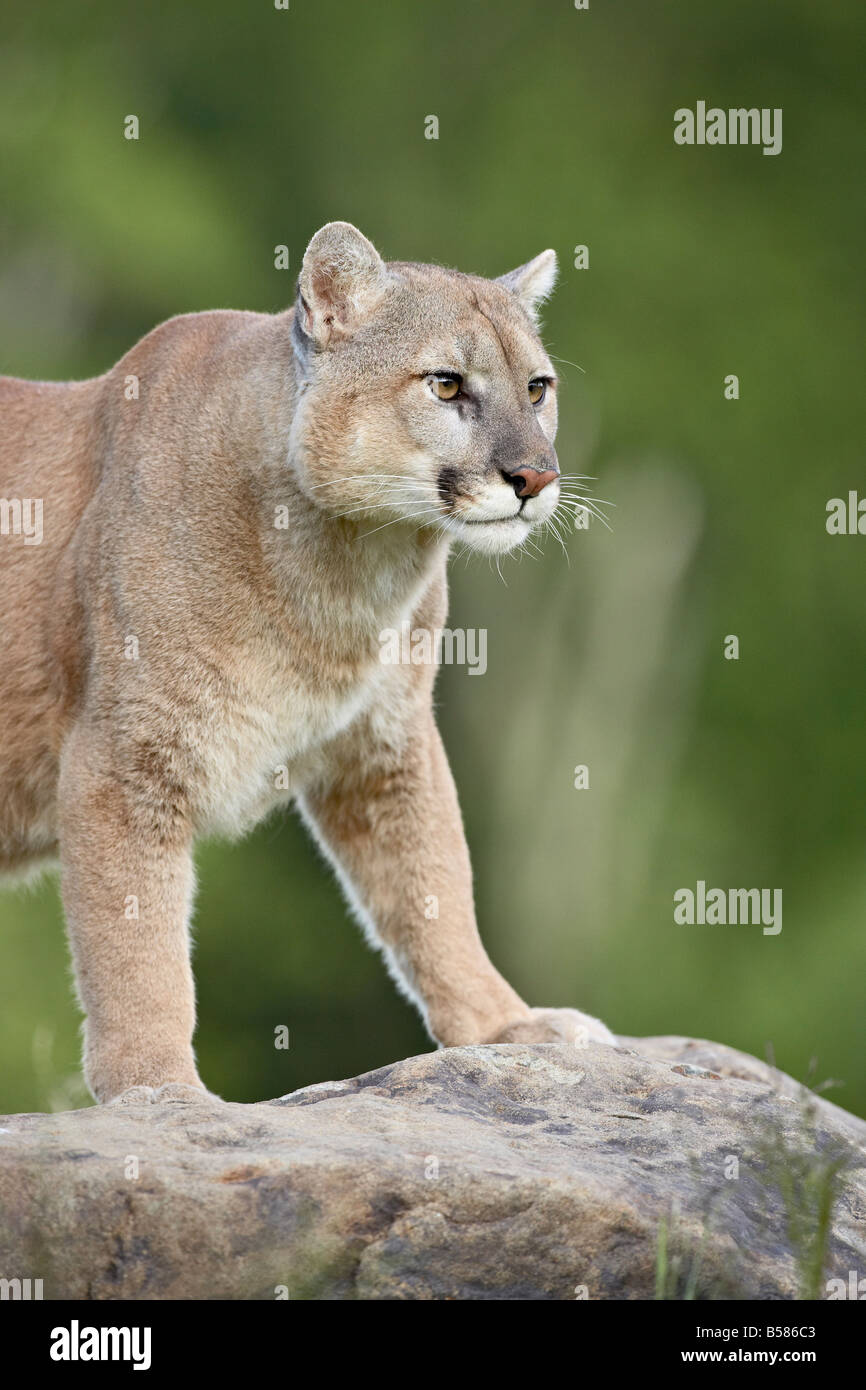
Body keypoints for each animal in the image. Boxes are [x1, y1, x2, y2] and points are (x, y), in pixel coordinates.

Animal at [0, 222, 617, 1100]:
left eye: (537, 388)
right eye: (445, 384)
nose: (535, 476)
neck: (351, 564)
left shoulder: (384, 745)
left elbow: (433, 889)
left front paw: (506, 1026)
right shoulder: (123, 763)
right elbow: (137, 949)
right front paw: (161, 1091)